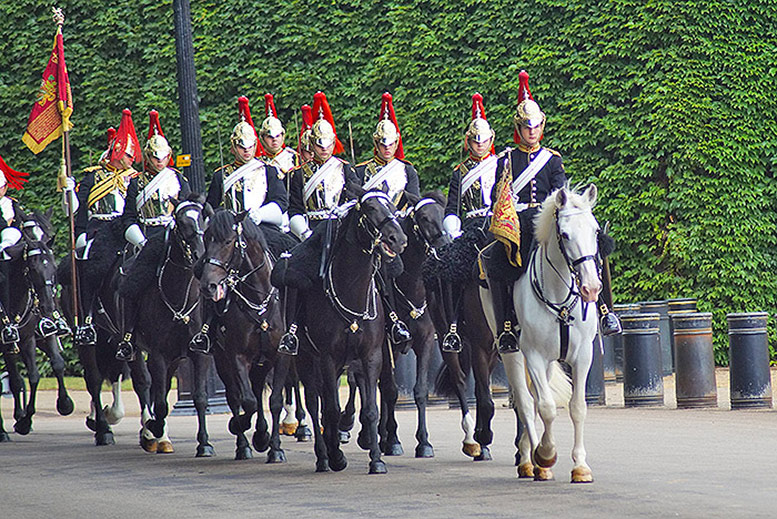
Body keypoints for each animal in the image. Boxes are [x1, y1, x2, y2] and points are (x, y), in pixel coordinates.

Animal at [0, 209, 73, 440]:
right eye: (32, 267)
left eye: (53, 264)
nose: (49, 305)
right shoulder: (6, 343)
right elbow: (16, 381)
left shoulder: (29, 338)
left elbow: (37, 373)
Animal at [123, 197, 215, 458]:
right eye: (181, 223)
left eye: (204, 218)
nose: (200, 256)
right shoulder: (158, 355)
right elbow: (161, 404)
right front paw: (152, 427)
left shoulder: (198, 354)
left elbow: (200, 397)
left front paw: (204, 443)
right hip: (130, 346)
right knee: (144, 383)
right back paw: (150, 432)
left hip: (174, 358)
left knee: (158, 389)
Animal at [196, 209, 290, 462]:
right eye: (206, 238)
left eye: (228, 241)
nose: (207, 285)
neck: (259, 300)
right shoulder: (236, 356)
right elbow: (246, 402)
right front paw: (240, 427)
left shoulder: (280, 357)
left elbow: (274, 402)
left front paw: (275, 448)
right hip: (222, 360)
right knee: (235, 396)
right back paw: (244, 444)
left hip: (261, 363)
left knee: (257, 390)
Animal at [292, 188, 410, 476]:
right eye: (370, 208)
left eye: (393, 206)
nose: (398, 239)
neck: (351, 291)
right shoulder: (327, 358)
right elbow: (331, 409)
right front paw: (336, 457)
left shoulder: (371, 356)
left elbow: (371, 409)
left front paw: (376, 460)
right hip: (306, 360)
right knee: (314, 403)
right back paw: (323, 456)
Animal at [484, 186, 600, 484]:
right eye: (565, 234)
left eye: (595, 231)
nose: (591, 288)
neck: (560, 298)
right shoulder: (534, 355)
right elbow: (546, 407)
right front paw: (545, 454)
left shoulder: (583, 356)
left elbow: (577, 407)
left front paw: (581, 466)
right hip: (512, 352)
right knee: (526, 403)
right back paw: (532, 460)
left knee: (533, 401)